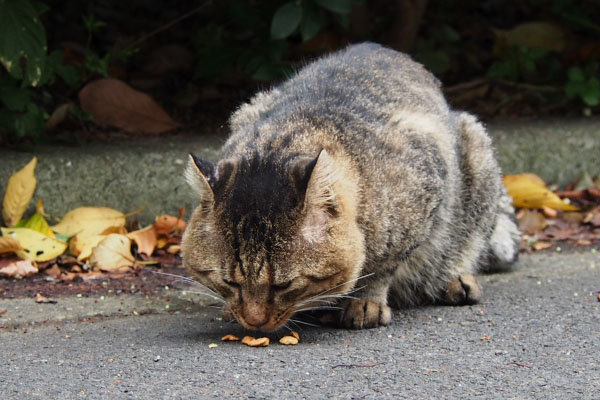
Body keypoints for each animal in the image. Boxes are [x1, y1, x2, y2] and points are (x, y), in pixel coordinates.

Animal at [179, 43, 520, 332]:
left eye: (283, 286)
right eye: (230, 283)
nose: (254, 321)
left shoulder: (426, 186)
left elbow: (384, 265)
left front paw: (366, 300)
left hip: (477, 154)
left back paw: (454, 278)